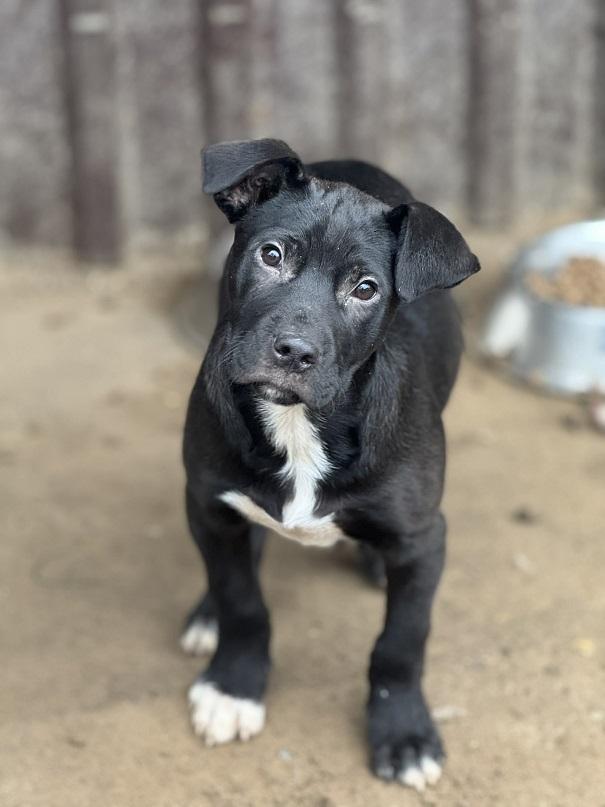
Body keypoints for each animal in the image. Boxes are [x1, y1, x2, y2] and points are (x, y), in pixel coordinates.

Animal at [180, 138, 479, 791]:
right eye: (272, 255)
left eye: (366, 289)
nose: (294, 352)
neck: (298, 424)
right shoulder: (205, 497)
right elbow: (242, 599)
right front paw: (235, 687)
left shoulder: (424, 537)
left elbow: (401, 642)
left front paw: (404, 733)